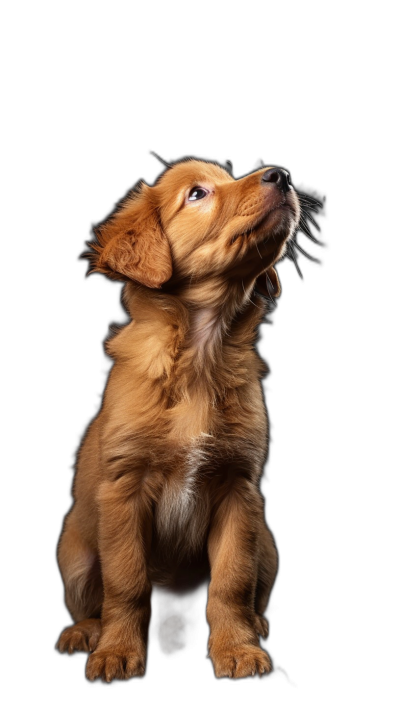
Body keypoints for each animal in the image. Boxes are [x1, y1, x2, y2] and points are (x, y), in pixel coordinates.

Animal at [56, 157, 300, 680]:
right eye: (197, 194)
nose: (282, 175)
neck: (200, 354)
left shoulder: (238, 489)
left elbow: (230, 582)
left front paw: (237, 648)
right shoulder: (124, 488)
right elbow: (126, 584)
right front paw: (117, 652)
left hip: (268, 545)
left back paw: (210, 628)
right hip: (76, 553)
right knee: (97, 599)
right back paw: (87, 632)